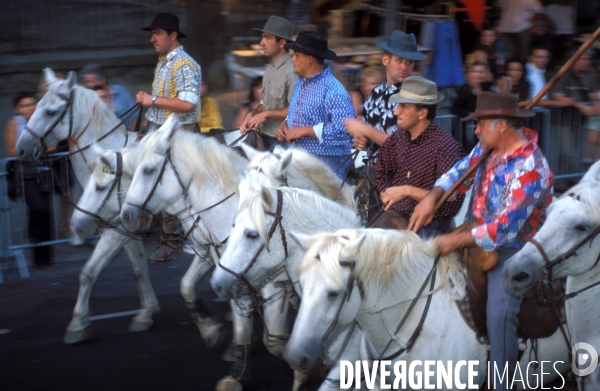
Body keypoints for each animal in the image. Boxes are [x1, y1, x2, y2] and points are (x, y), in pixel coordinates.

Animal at [15, 69, 158, 344]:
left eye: (51, 112)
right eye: (33, 107)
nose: (21, 149)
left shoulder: (115, 230)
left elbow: (89, 271)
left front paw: (77, 323)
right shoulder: (125, 229)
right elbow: (139, 269)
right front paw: (146, 313)